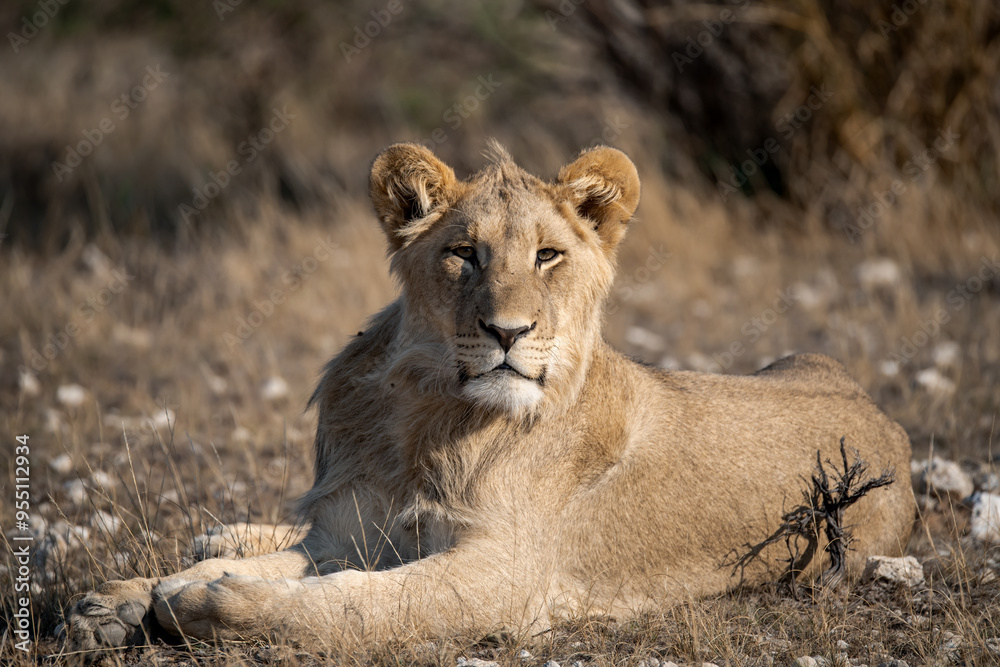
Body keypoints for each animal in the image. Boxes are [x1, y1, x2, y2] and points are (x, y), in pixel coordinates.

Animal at [67, 142, 915, 653]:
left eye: (548, 256)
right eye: (463, 253)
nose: (508, 331)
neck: (429, 414)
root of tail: (887, 422)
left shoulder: (504, 576)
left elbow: (349, 603)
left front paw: (204, 602)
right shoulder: (353, 528)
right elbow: (303, 561)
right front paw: (119, 600)